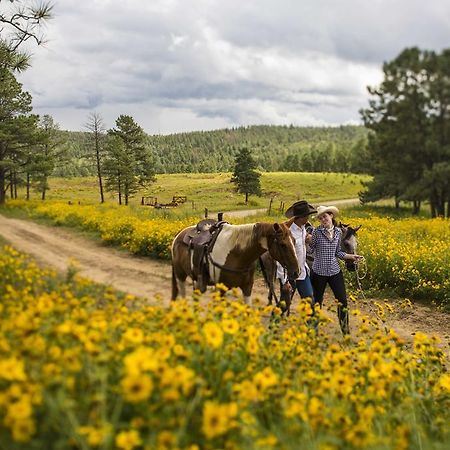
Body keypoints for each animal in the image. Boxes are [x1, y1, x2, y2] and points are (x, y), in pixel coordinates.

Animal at [171, 221, 300, 306]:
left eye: (294, 241)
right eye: (283, 245)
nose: (296, 272)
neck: (236, 253)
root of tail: (179, 235)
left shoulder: (247, 288)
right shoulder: (221, 290)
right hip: (180, 275)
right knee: (182, 293)